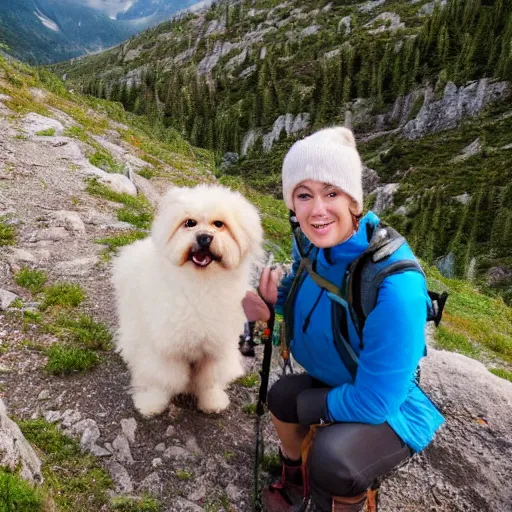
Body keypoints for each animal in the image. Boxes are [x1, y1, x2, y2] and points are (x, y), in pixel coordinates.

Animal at [112, 184, 264, 416]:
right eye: (190, 223)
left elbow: (209, 381)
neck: (200, 286)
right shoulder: (165, 349)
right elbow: (161, 379)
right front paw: (151, 404)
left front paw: (212, 402)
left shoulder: (214, 352)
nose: (204, 237)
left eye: (219, 224)